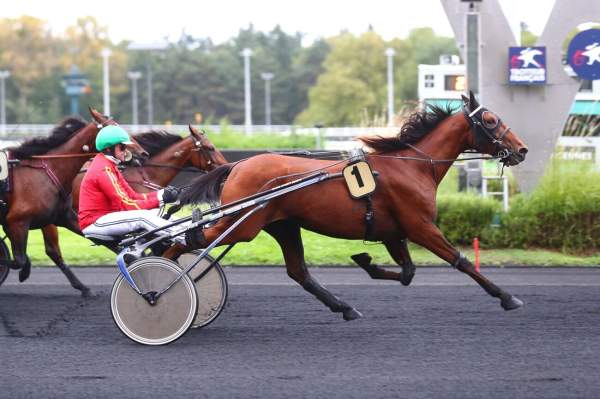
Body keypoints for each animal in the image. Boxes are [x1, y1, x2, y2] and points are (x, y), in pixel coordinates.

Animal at [0, 109, 149, 294]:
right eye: (114, 127)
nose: (143, 153)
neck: (46, 172)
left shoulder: (63, 217)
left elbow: (107, 241)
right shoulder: (17, 221)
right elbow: (18, 260)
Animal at [177, 91, 528, 322]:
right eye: (491, 120)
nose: (522, 149)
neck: (413, 166)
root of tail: (237, 165)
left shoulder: (393, 232)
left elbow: (408, 272)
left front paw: (365, 261)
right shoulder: (421, 226)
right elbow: (462, 261)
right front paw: (508, 297)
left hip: (282, 225)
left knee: (298, 272)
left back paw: (345, 308)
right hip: (243, 224)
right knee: (186, 240)